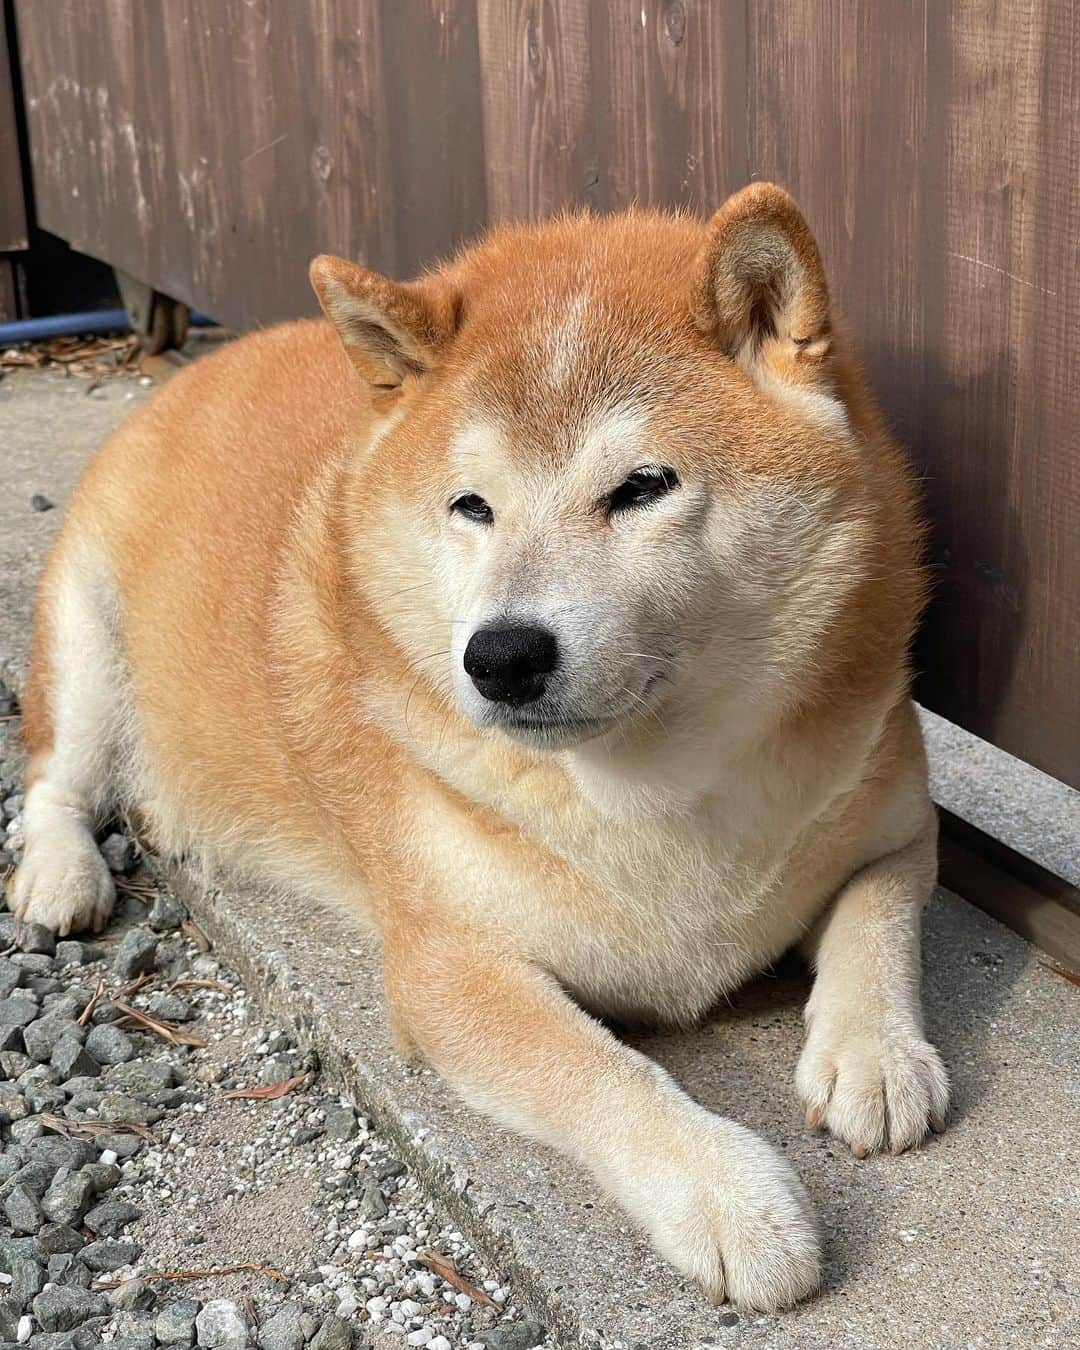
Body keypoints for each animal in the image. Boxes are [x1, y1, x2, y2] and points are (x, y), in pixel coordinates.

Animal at [14, 184, 945, 1312]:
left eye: (642, 486)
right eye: (472, 506)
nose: (501, 655)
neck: (657, 791)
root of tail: (202, 362)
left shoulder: (896, 819)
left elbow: (877, 919)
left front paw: (875, 1054)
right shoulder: (448, 962)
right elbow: (596, 1071)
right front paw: (730, 1193)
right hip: (85, 637)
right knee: (54, 775)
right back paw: (59, 873)